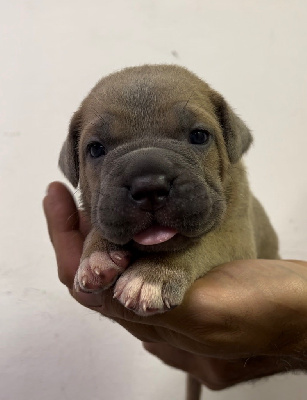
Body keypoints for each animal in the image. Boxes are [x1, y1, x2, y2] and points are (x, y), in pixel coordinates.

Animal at [59, 65, 280, 400]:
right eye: (96, 149)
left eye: (199, 136)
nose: (149, 184)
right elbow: (100, 225)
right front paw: (96, 257)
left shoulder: (236, 237)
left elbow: (202, 243)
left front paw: (153, 273)